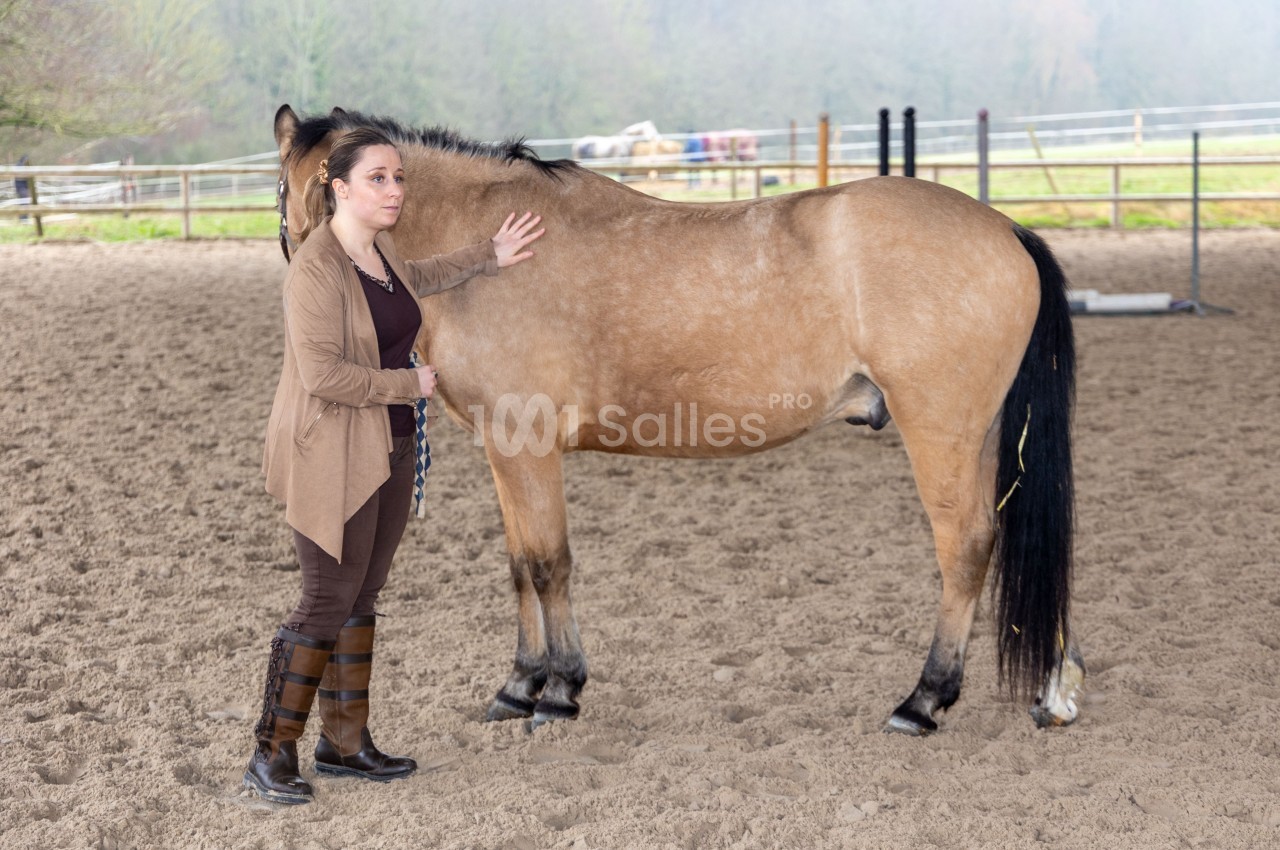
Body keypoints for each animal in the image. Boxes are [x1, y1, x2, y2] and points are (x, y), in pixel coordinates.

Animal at [274, 105, 1085, 736]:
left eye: (302, 189)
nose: (316, 282)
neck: (490, 251)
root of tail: (1008, 230)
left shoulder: (527, 444)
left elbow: (549, 562)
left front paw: (558, 691)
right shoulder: (505, 451)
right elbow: (520, 566)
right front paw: (520, 685)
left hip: (941, 434)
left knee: (965, 549)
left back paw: (924, 699)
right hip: (983, 440)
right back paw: (1052, 691)